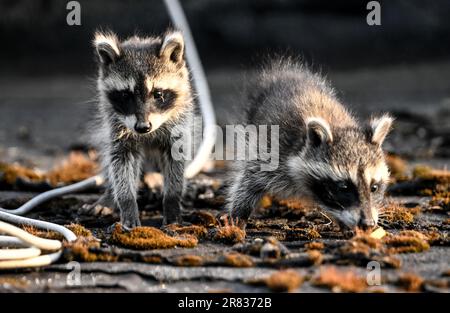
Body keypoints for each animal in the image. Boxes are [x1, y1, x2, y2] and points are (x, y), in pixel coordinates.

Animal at [91, 30, 195, 228]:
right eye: (125, 95)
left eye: (158, 94)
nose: (143, 127)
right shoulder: (116, 126)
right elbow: (120, 162)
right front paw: (127, 203)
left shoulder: (178, 124)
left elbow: (176, 160)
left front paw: (172, 202)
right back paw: (109, 196)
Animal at [227, 58, 392, 229]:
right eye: (344, 187)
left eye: (374, 187)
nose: (368, 223)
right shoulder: (272, 150)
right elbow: (249, 182)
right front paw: (238, 216)